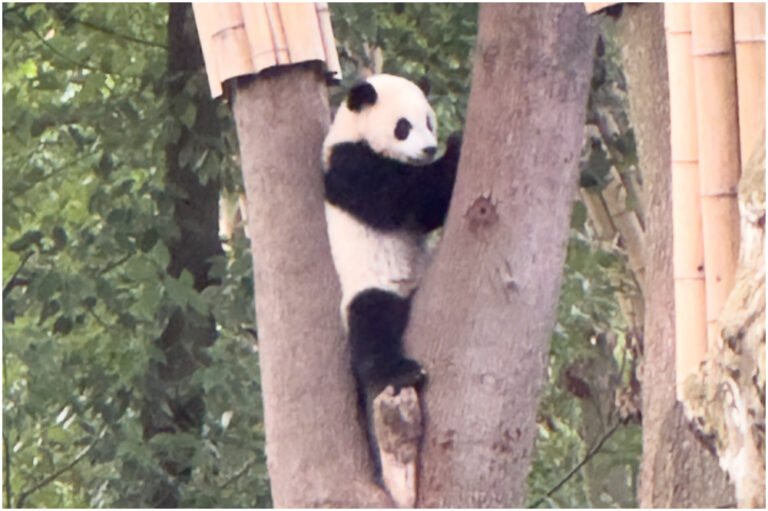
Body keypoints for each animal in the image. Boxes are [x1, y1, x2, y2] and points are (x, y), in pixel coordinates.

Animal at [322, 73, 461, 478]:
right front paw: (457, 145)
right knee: (373, 323)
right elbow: (409, 199)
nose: (429, 149)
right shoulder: (350, 167)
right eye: (404, 127)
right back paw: (398, 373)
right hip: (372, 285)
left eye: (429, 121)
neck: (353, 131)